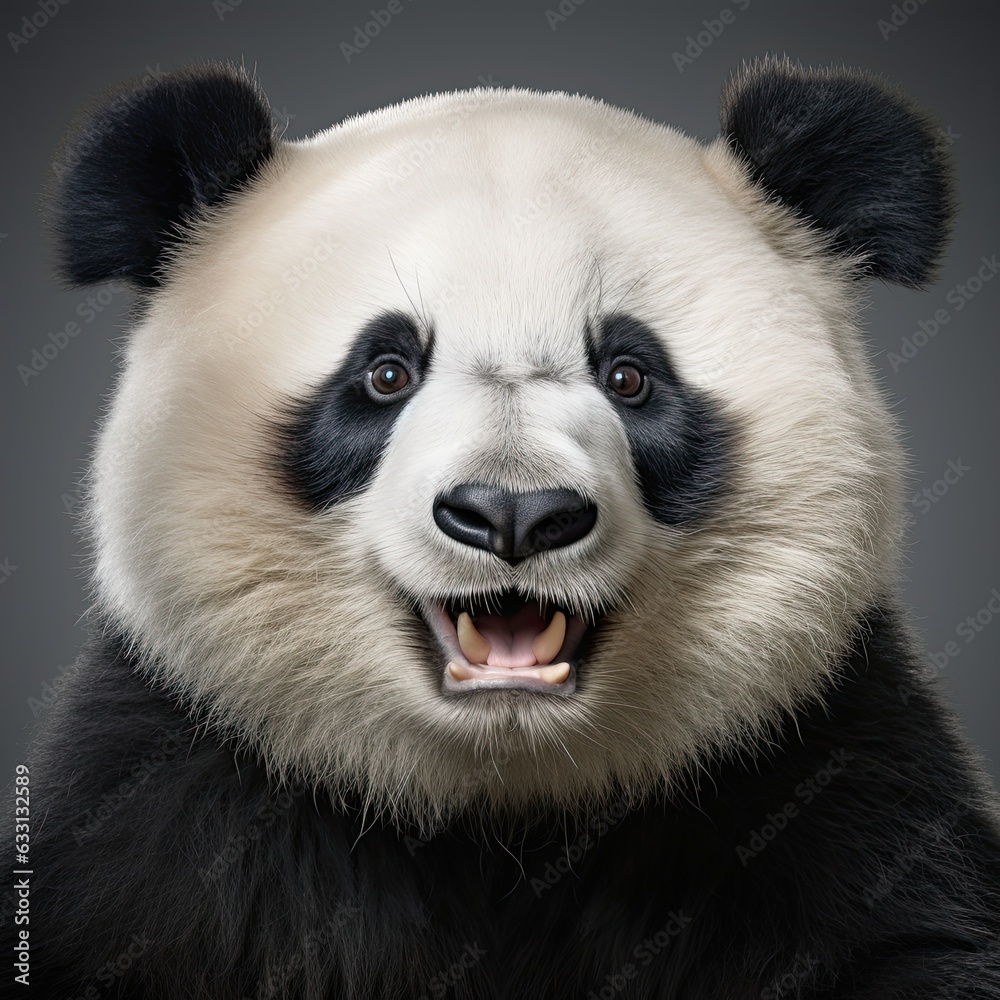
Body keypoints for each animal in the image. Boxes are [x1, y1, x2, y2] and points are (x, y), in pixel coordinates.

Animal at [13, 57, 1000, 998]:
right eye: (385, 372)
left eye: (631, 375)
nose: (515, 513)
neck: (501, 809)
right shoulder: (170, 812)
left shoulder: (824, 784)